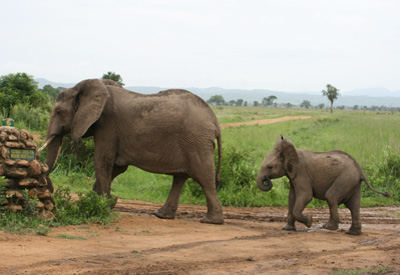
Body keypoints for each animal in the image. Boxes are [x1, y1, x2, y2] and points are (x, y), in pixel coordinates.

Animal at [41, 77, 223, 224]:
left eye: (58, 111)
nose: (50, 188)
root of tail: (215, 121)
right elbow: (117, 166)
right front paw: (102, 201)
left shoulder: (107, 125)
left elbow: (102, 161)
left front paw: (102, 204)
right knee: (180, 177)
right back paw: (161, 215)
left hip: (196, 142)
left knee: (204, 177)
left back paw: (211, 221)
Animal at [256, 135, 390, 236]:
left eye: (270, 167)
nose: (266, 179)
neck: (289, 153)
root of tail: (360, 170)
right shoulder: (293, 176)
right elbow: (292, 197)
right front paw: (287, 229)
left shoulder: (301, 174)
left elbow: (306, 196)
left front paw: (309, 221)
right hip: (353, 182)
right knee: (353, 206)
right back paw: (352, 233)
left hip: (346, 178)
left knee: (331, 196)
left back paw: (328, 227)